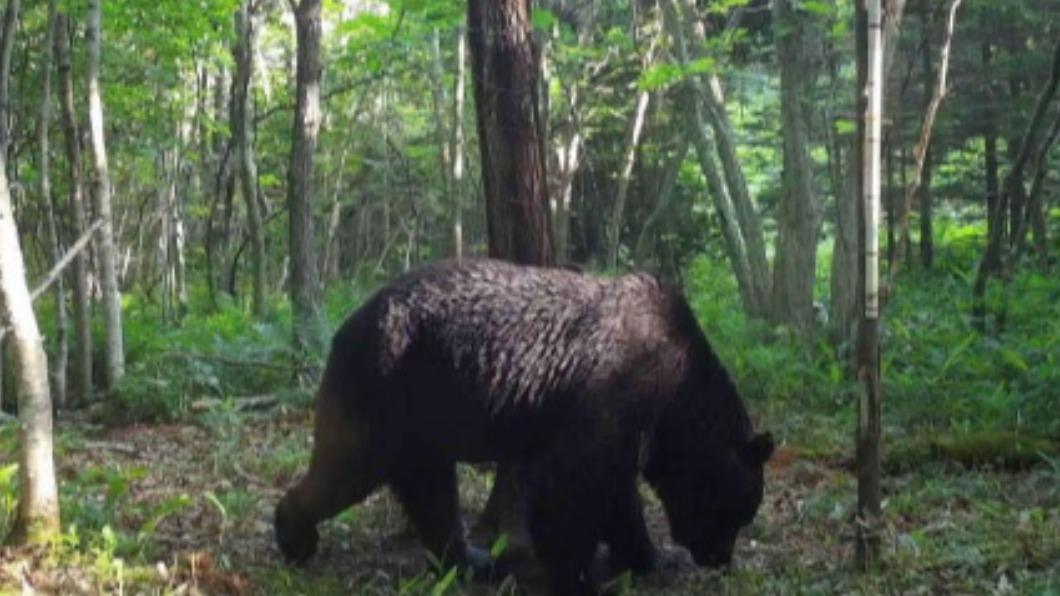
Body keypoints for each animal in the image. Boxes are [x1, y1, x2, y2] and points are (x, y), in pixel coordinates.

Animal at [275, 259, 773, 594]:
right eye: (737, 511)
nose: (718, 558)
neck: (676, 396)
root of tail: (345, 326)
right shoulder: (613, 392)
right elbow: (576, 488)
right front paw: (577, 573)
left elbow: (615, 493)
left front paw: (649, 556)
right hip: (385, 389)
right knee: (346, 470)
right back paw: (294, 534)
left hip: (422, 421)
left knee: (431, 492)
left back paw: (470, 560)